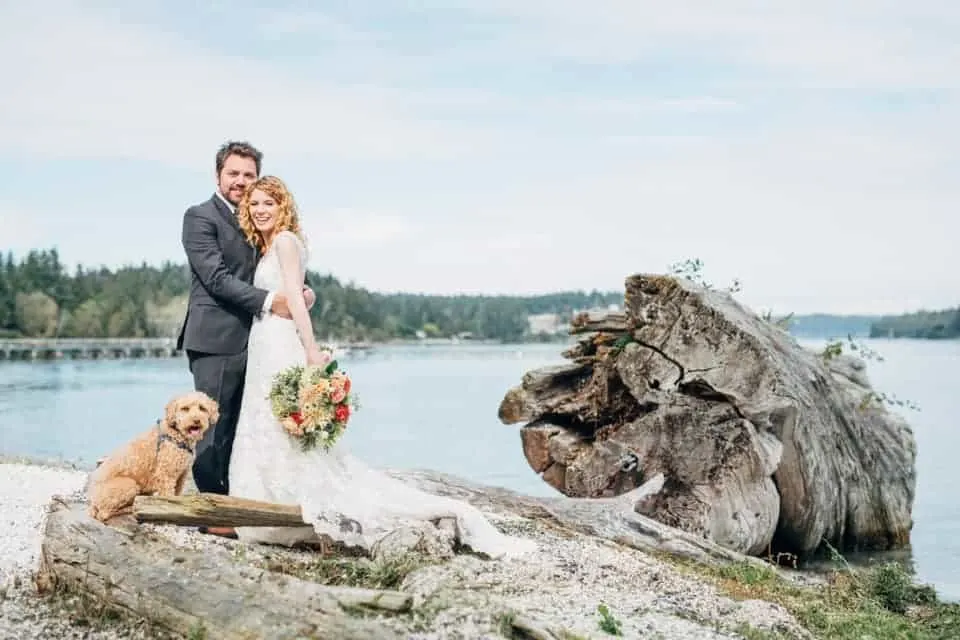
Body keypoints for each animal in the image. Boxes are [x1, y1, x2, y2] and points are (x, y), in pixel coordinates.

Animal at [88, 390, 219, 520]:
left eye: (202, 408)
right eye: (185, 408)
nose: (196, 420)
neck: (176, 435)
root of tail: (92, 500)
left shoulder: (181, 475)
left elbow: (177, 495)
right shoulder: (166, 475)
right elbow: (168, 497)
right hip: (129, 485)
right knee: (104, 513)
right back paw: (130, 509)